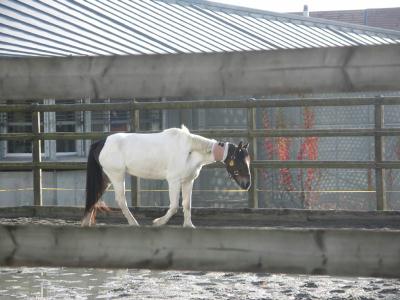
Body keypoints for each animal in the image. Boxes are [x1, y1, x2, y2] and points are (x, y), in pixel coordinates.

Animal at [81, 125, 250, 227]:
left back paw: (86, 223)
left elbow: (187, 205)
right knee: (121, 200)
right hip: (117, 176)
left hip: (106, 178)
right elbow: (174, 206)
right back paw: (134, 223)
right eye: (239, 161)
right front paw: (158, 222)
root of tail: (100, 142)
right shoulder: (174, 181)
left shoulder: (188, 181)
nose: (247, 184)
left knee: (95, 197)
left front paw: (189, 225)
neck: (189, 149)